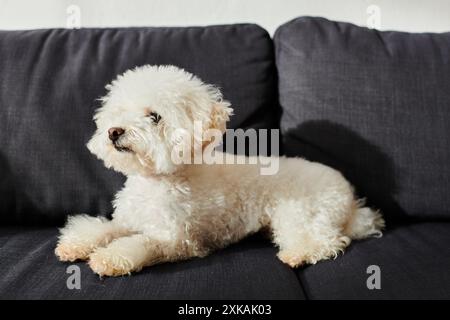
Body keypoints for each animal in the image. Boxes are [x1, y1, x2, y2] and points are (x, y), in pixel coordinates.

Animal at [53, 64, 384, 276]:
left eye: (154, 116)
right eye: (119, 111)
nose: (114, 132)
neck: (157, 181)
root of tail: (350, 199)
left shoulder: (177, 240)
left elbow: (141, 243)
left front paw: (108, 258)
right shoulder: (128, 220)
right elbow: (104, 229)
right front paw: (75, 244)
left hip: (299, 213)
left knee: (327, 241)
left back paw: (297, 254)